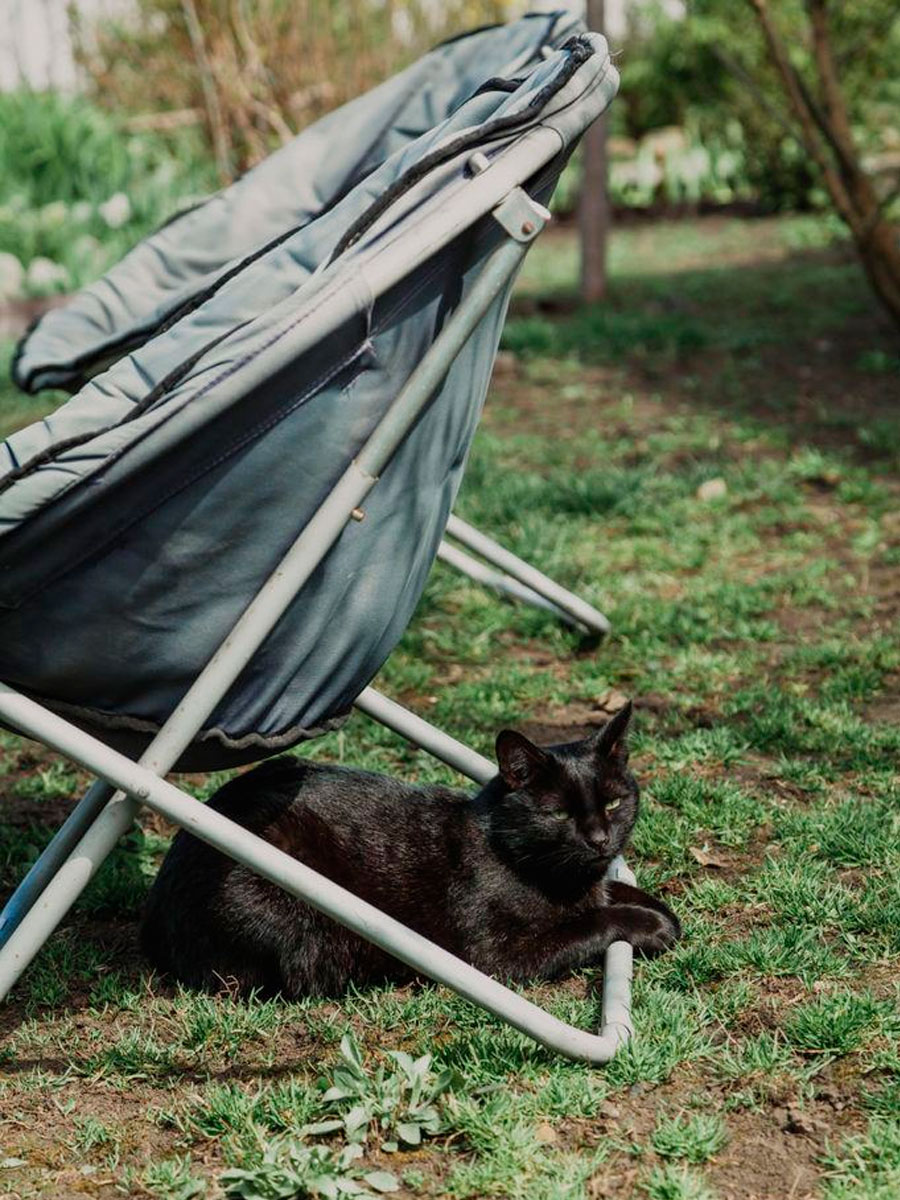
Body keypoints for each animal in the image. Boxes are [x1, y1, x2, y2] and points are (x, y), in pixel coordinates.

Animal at [141, 700, 681, 993]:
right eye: (559, 814)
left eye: (613, 803)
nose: (599, 839)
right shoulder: (495, 956)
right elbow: (590, 922)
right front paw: (649, 926)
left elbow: (619, 895)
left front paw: (660, 913)